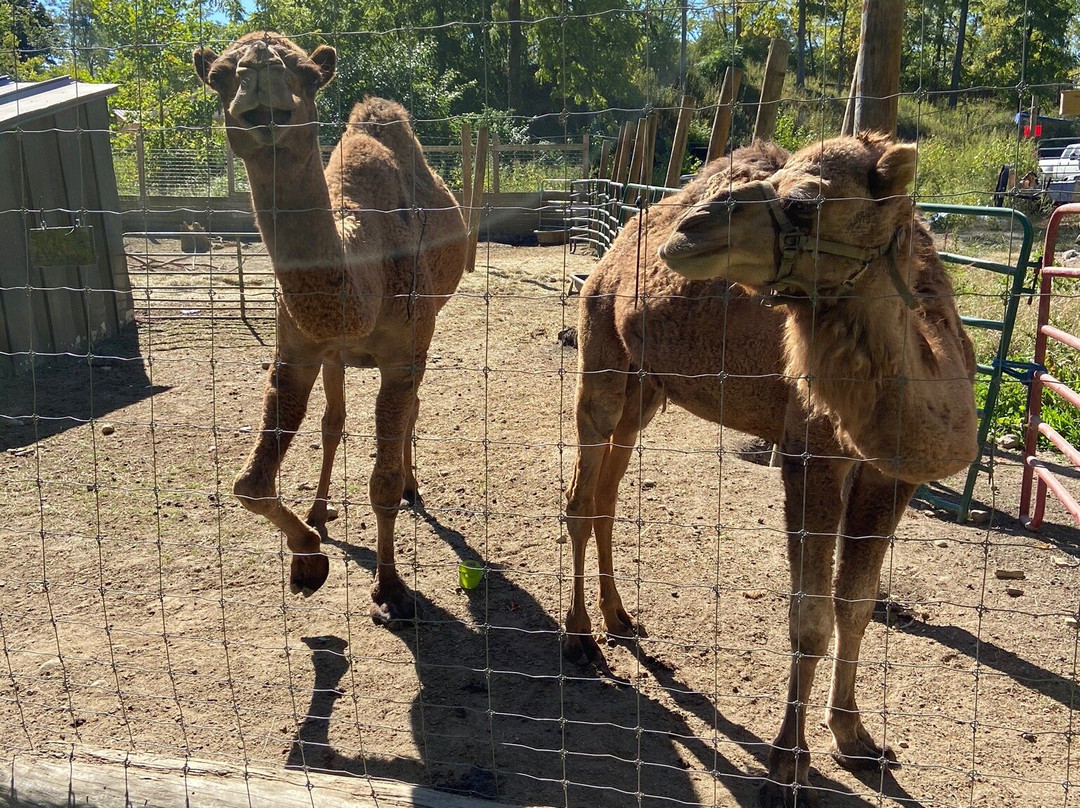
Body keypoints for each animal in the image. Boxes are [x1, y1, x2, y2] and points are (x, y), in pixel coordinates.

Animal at [194, 31, 464, 626]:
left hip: (427, 329)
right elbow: (250, 483)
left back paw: (412, 484)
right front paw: (307, 559)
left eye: (306, 75)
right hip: (337, 358)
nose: (262, 87)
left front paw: (390, 588)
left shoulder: (403, 353)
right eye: (220, 75)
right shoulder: (297, 350)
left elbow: (382, 481)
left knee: (411, 410)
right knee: (333, 422)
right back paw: (319, 511)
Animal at [565, 133, 980, 808]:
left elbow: (857, 603)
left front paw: (857, 739)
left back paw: (621, 619)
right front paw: (787, 768)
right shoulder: (810, 455)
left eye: (805, 203)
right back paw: (578, 637)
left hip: (645, 386)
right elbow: (809, 618)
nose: (691, 228)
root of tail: (615, 249)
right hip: (600, 349)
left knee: (607, 494)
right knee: (580, 495)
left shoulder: (890, 476)